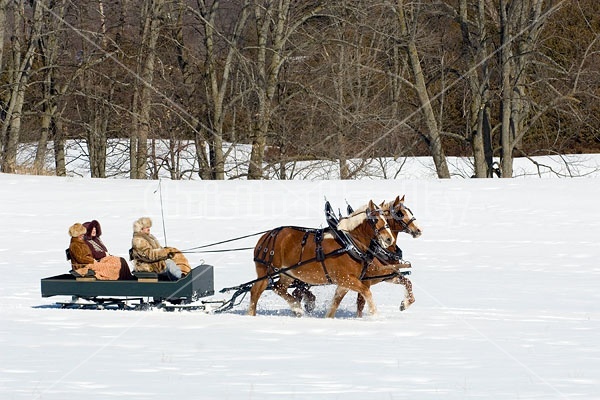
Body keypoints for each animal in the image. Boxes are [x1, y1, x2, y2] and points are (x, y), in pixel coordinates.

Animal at [246, 200, 396, 318]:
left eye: (386, 219)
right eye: (375, 220)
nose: (389, 239)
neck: (349, 243)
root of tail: (265, 236)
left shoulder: (345, 282)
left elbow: (335, 302)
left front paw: (327, 318)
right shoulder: (345, 278)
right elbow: (366, 292)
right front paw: (375, 316)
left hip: (288, 273)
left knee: (279, 288)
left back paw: (297, 308)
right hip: (266, 271)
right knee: (255, 291)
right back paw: (251, 315)